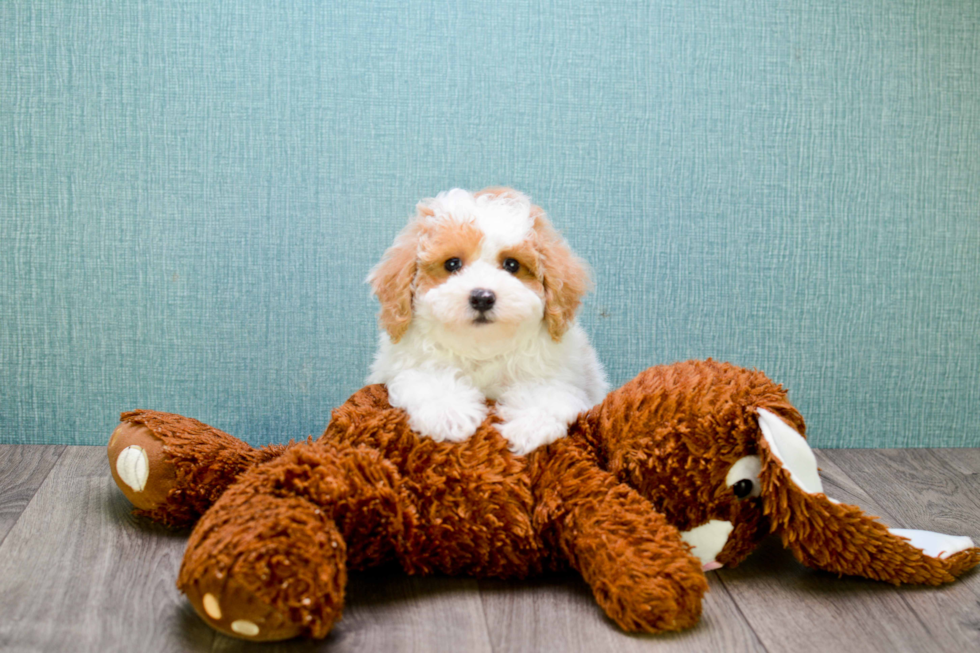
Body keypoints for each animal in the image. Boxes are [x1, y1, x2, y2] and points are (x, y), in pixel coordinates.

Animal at [368, 187, 608, 454]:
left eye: (512, 264)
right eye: (452, 264)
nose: (482, 297)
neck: (482, 347)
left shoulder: (562, 375)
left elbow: (547, 392)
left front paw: (531, 425)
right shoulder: (406, 365)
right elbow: (428, 378)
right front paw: (448, 413)